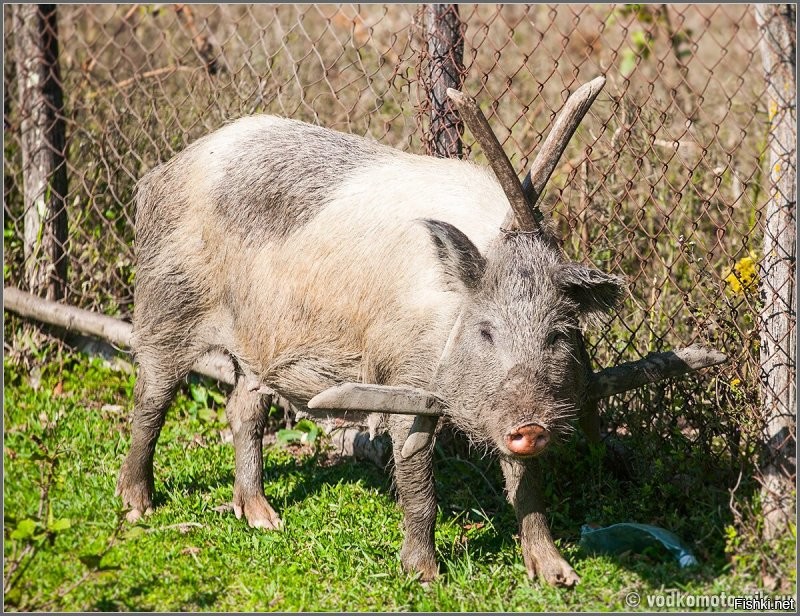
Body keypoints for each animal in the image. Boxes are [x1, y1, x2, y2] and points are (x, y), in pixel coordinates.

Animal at [115, 115, 620, 588]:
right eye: (485, 331)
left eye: (557, 334)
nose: (530, 427)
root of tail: (165, 169)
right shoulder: (406, 382)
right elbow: (418, 482)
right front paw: (424, 576)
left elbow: (526, 485)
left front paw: (561, 577)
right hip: (166, 299)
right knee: (150, 399)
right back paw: (137, 508)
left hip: (256, 344)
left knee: (243, 410)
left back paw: (265, 519)